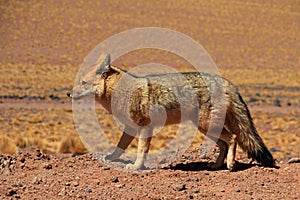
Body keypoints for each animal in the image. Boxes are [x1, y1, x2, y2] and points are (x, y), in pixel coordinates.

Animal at [67, 54, 276, 171]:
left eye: (83, 83)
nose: (69, 93)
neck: (120, 90)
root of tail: (226, 82)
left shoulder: (145, 127)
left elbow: (141, 150)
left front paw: (136, 167)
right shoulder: (130, 128)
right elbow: (120, 146)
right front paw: (111, 158)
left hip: (206, 124)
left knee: (232, 138)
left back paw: (230, 165)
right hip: (205, 128)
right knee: (224, 143)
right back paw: (216, 165)